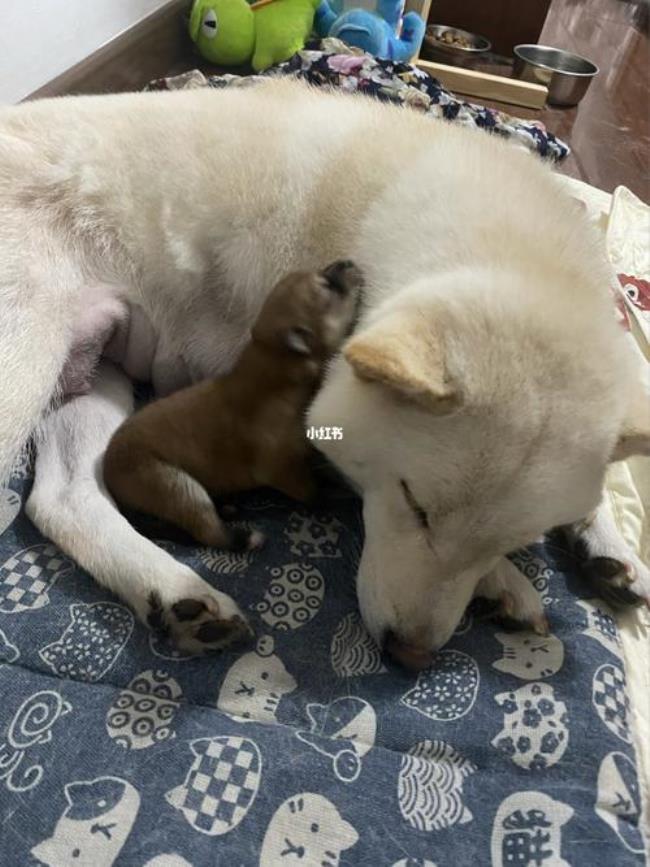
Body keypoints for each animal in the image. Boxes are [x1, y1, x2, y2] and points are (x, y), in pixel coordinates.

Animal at [104, 262, 362, 552]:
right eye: (327, 285)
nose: (348, 262)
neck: (274, 361)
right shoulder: (280, 468)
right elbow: (311, 492)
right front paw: (334, 495)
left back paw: (227, 508)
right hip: (172, 484)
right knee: (208, 532)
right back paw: (246, 538)